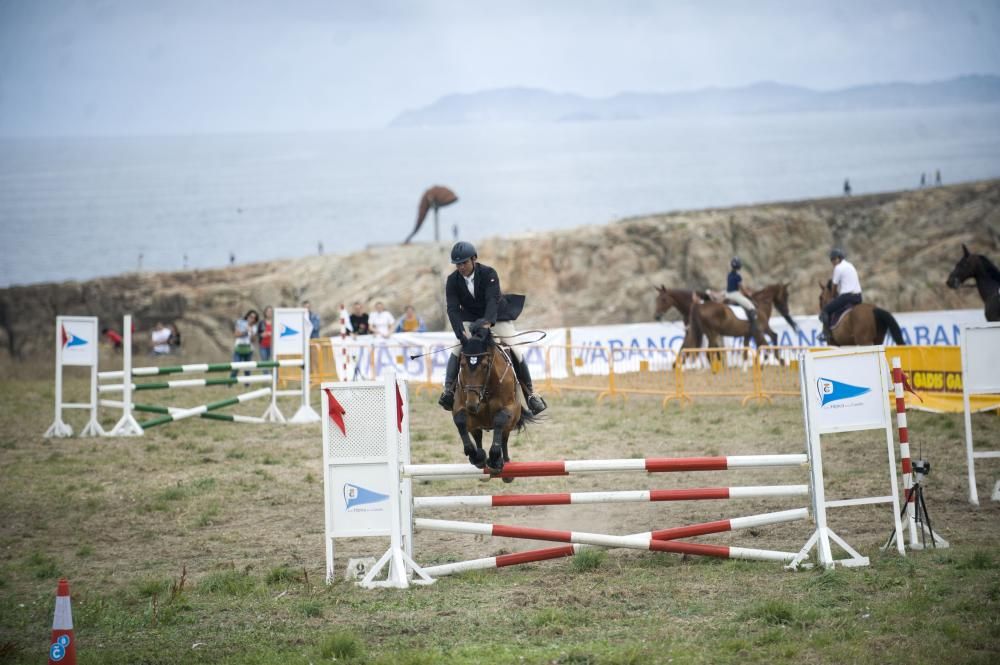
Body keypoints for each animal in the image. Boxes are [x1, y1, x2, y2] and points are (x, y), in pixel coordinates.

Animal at [452, 330, 536, 474]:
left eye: (485, 366)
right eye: (462, 365)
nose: (472, 404)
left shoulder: (511, 408)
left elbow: (499, 420)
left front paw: (494, 457)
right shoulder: (460, 406)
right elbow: (460, 420)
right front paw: (474, 455)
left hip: (510, 422)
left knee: (503, 437)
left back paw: (503, 463)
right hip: (476, 422)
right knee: (477, 434)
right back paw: (479, 456)